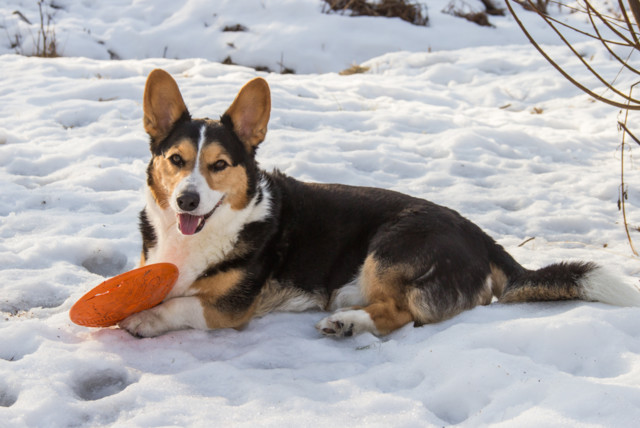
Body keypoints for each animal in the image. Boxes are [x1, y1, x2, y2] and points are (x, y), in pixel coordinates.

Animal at [120, 69, 640, 338]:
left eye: (220, 164)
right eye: (176, 159)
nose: (188, 200)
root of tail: (481, 237)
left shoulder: (228, 308)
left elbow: (181, 305)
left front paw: (142, 318)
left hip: (388, 247)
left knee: (400, 314)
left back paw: (347, 322)